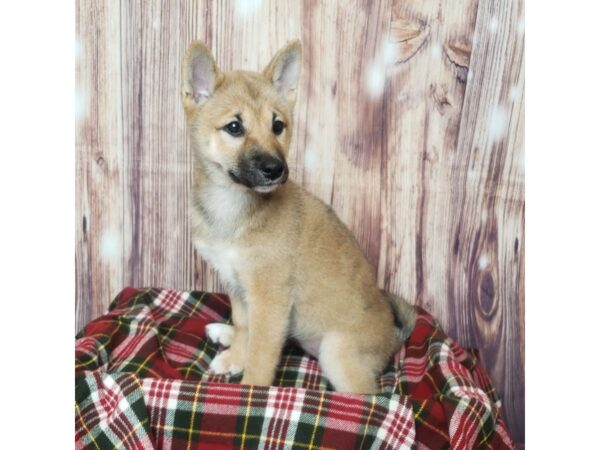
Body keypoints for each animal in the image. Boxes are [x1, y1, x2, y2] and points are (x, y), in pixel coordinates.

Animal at [180, 38, 414, 392]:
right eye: (234, 127)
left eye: (278, 126)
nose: (275, 169)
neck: (234, 206)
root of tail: (393, 339)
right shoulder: (239, 287)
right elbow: (246, 328)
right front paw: (235, 356)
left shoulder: (270, 299)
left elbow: (261, 354)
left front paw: (250, 392)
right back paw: (225, 335)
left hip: (337, 351)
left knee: (370, 396)